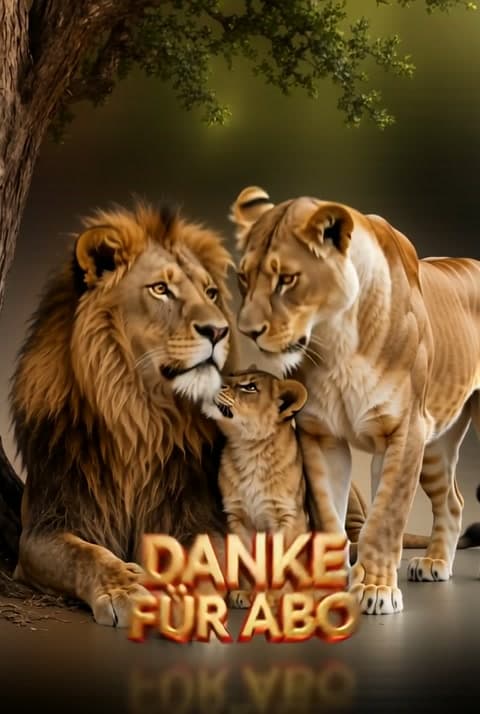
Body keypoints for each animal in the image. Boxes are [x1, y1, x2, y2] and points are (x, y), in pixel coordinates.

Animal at [10, 200, 237, 626]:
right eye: (161, 289)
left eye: (211, 292)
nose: (219, 331)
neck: (138, 411)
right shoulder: (44, 526)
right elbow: (85, 556)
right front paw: (126, 590)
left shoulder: (201, 516)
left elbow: (202, 557)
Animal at [228, 185, 480, 615]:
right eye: (243, 278)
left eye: (287, 279)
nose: (247, 331)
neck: (335, 342)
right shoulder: (321, 435)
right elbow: (329, 515)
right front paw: (329, 585)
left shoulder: (405, 432)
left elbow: (386, 518)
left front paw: (376, 588)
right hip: (436, 445)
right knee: (452, 500)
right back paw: (434, 563)